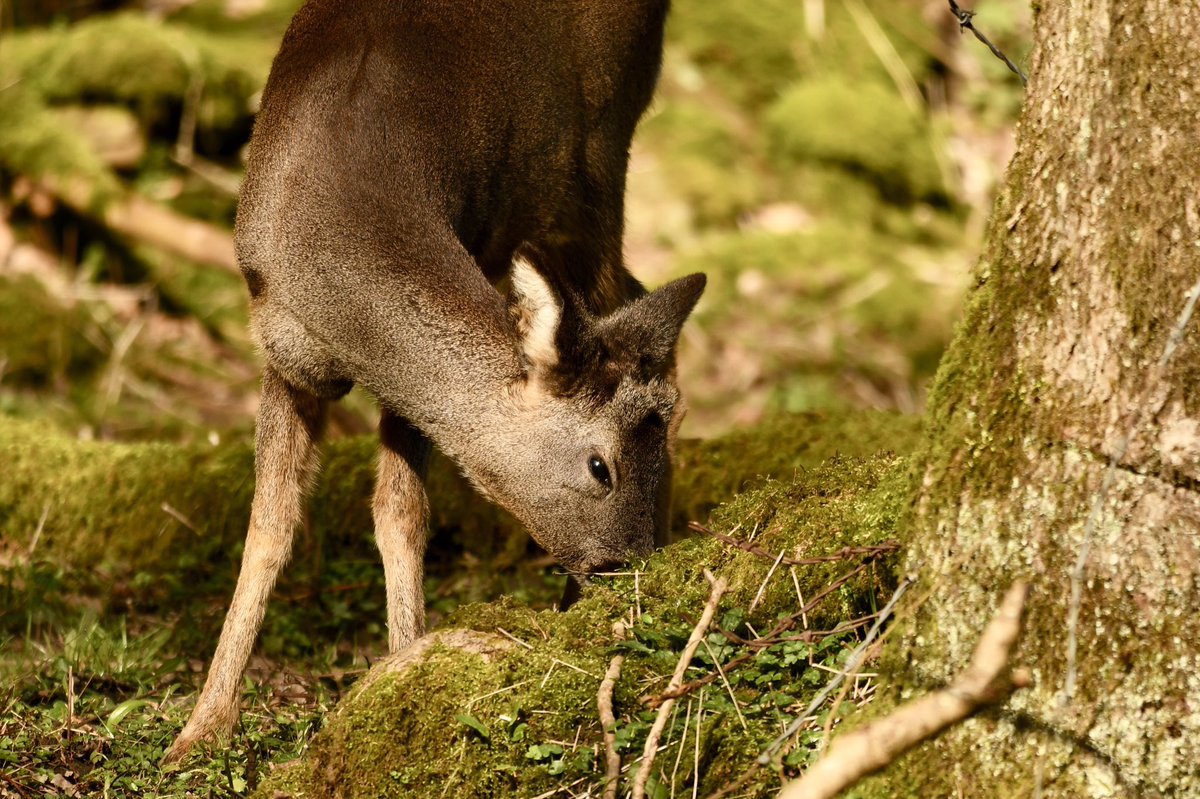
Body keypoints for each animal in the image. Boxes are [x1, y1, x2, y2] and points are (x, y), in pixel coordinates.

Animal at [164, 0, 704, 762]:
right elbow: (270, 525)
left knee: (623, 284)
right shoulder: (283, 352)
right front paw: (202, 726)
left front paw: (398, 674)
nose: (629, 568)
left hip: (600, 147)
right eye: (600, 466)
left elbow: (401, 514)